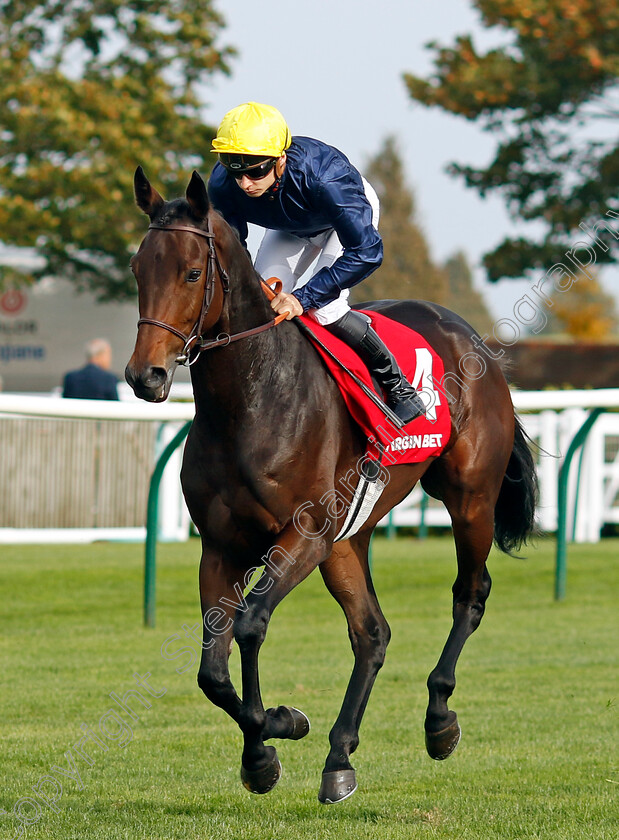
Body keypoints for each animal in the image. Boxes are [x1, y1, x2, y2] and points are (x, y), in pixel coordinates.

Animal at [126, 167, 536, 804]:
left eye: (192, 272)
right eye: (138, 269)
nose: (144, 376)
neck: (252, 400)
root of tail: (474, 342)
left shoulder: (304, 536)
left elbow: (250, 625)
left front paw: (273, 731)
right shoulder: (220, 547)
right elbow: (212, 671)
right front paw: (270, 742)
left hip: (469, 500)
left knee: (470, 594)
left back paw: (439, 719)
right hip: (350, 538)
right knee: (371, 633)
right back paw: (339, 756)